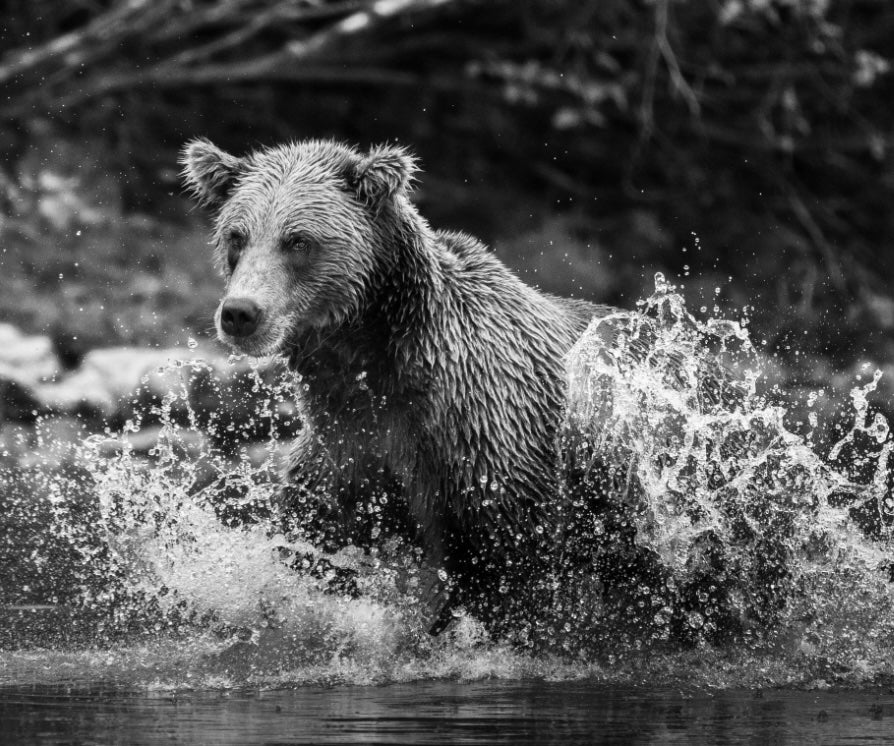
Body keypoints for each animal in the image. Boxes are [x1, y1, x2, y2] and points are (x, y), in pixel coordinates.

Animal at [180, 138, 613, 642]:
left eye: (298, 240)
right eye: (236, 236)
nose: (240, 313)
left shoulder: (489, 452)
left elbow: (513, 575)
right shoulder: (343, 454)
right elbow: (317, 547)